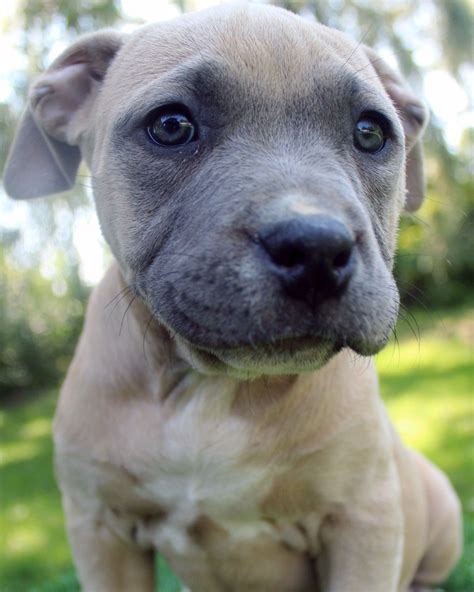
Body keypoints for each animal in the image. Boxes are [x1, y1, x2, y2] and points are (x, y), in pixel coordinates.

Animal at [4, 4, 462, 592]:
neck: (212, 388)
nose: (315, 248)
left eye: (370, 132)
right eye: (171, 125)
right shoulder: (100, 529)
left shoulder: (362, 521)